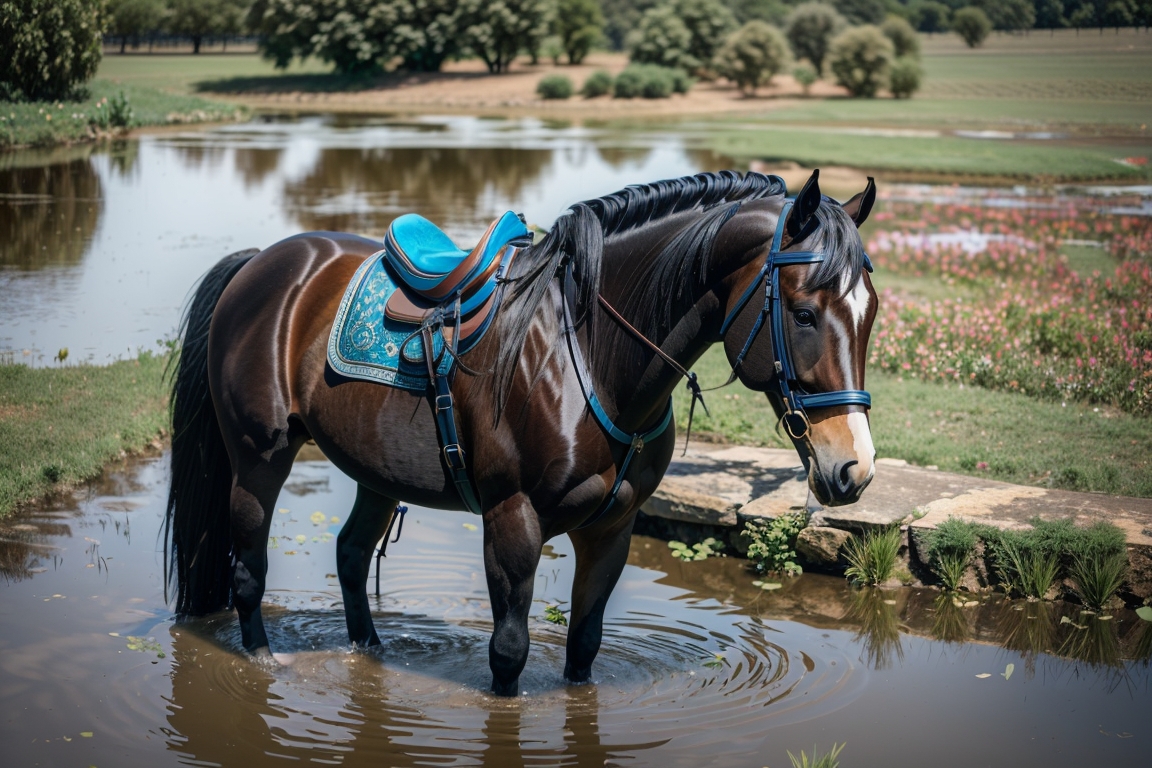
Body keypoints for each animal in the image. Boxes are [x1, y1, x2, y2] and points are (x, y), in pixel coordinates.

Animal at [165, 169, 879, 696]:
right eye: (804, 313)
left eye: (870, 313)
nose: (854, 468)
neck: (588, 355)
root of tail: (262, 263)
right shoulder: (512, 519)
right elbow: (508, 653)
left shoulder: (613, 528)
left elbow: (583, 646)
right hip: (259, 456)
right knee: (248, 570)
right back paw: (262, 661)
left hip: (375, 472)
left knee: (349, 555)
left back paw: (368, 651)